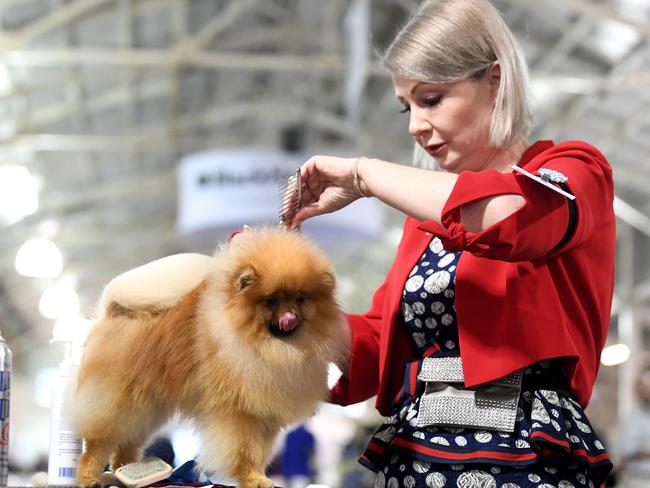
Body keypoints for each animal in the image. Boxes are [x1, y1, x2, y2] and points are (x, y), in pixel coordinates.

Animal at [73, 229, 350, 488]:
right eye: (271, 300)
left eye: (302, 299)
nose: (290, 316)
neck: (273, 348)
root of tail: (112, 311)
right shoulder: (238, 413)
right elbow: (245, 451)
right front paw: (252, 478)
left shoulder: (264, 414)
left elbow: (260, 452)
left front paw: (259, 476)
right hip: (119, 402)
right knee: (97, 444)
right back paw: (89, 477)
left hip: (146, 406)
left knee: (128, 442)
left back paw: (128, 473)